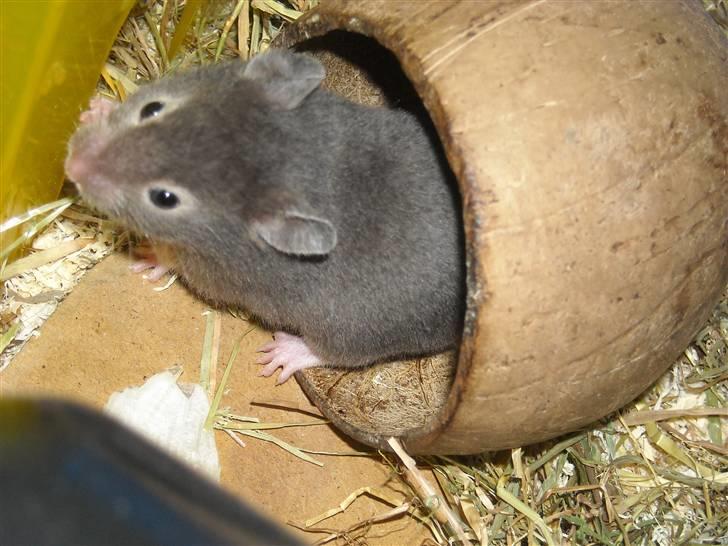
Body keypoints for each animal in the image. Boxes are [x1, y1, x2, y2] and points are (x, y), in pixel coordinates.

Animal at [65, 49, 465, 384]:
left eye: (164, 198)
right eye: (151, 108)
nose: (72, 165)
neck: (299, 162)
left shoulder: (212, 273)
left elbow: (171, 257)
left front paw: (146, 256)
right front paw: (95, 108)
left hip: (354, 331)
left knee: (333, 353)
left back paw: (279, 353)